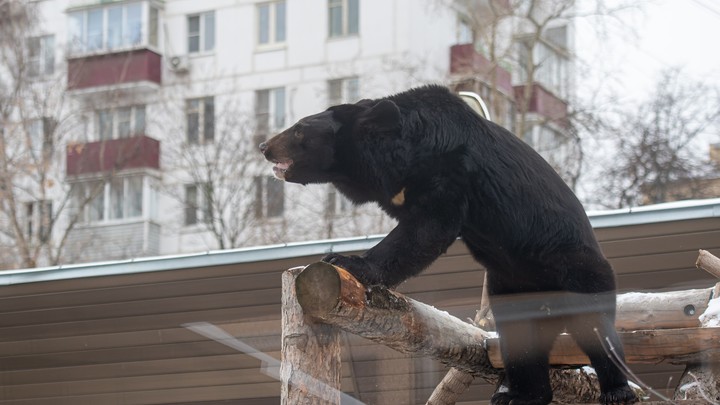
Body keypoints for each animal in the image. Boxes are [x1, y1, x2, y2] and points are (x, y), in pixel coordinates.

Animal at [260, 85, 637, 405]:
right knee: (519, 337)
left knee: (595, 327)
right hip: (510, 288)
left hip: (575, 266)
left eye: (299, 130)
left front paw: (346, 260)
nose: (264, 147)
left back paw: (617, 391)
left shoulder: (449, 169)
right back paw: (518, 395)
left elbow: (427, 227)